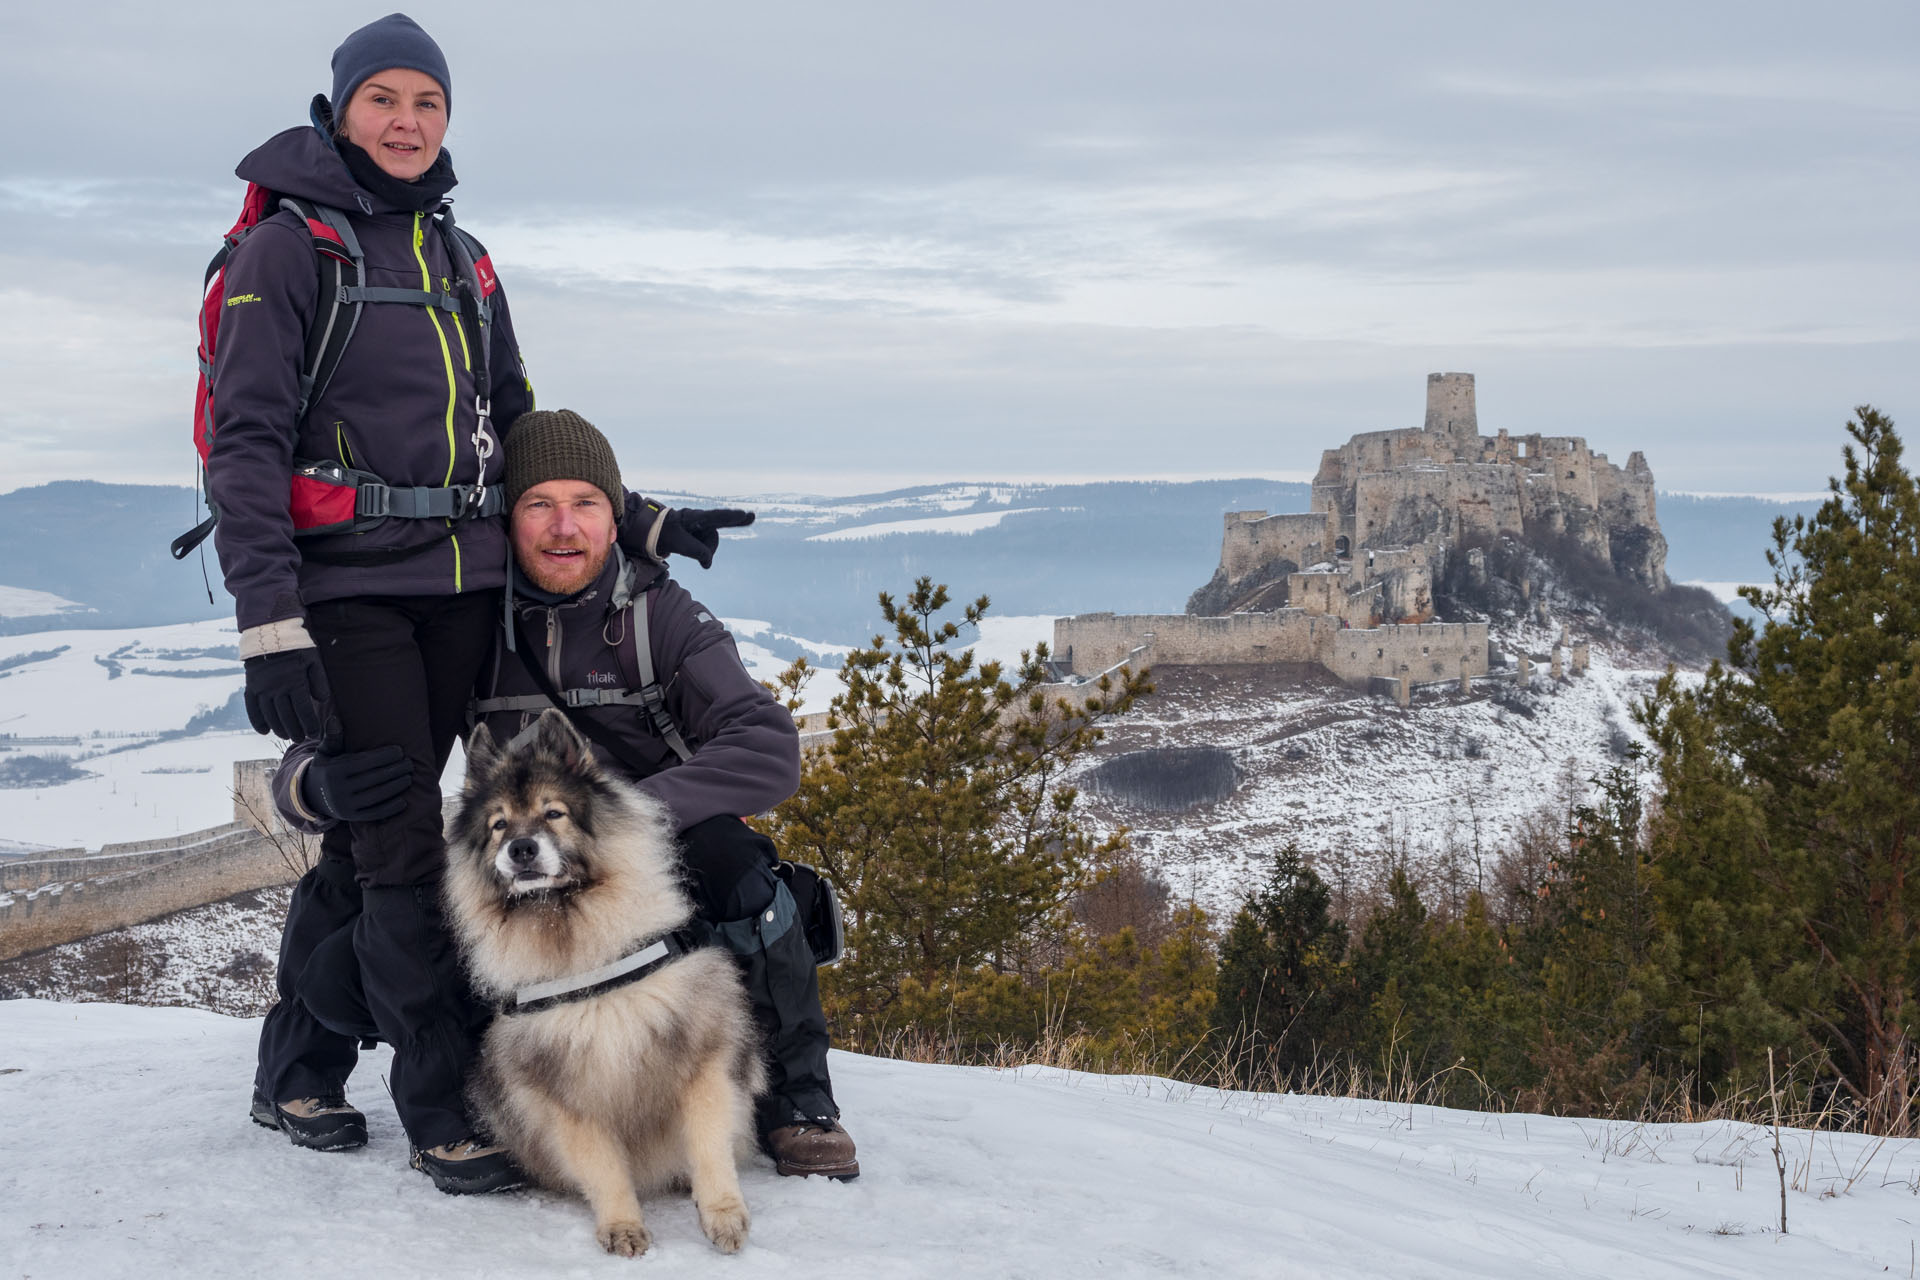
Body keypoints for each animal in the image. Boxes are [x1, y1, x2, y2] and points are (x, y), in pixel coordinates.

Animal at [445, 710, 768, 1258]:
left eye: (554, 813)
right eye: (498, 825)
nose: (521, 849)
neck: (587, 955)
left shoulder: (701, 1057)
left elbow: (709, 1143)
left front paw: (724, 1214)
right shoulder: (566, 1093)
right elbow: (602, 1167)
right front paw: (623, 1227)